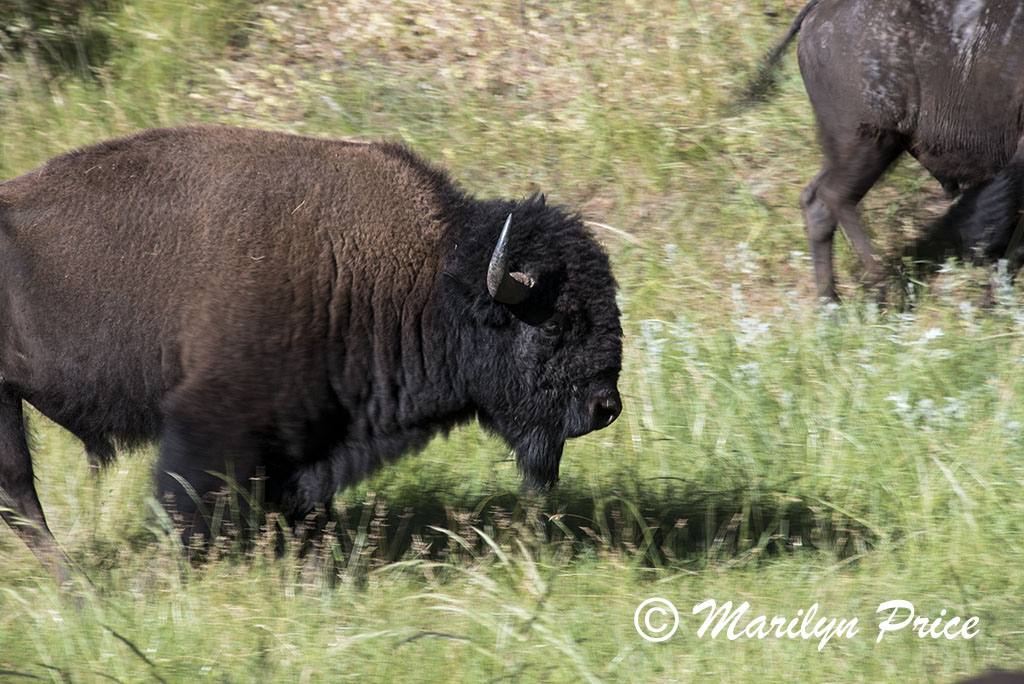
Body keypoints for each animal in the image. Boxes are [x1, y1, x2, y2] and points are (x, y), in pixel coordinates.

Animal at [0, 125, 622, 573]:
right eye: (553, 323)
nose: (605, 407)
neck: (424, 278)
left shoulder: (310, 437)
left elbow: (304, 505)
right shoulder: (210, 422)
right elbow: (189, 504)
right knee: (21, 493)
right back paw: (77, 587)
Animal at [753, 0, 1024, 298]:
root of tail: (819, 10)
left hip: (858, 148)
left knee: (816, 201)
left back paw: (831, 301)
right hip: (870, 141)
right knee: (834, 197)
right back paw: (884, 285)